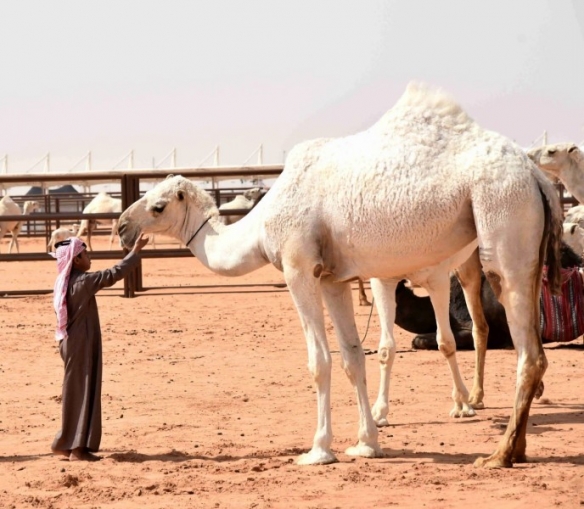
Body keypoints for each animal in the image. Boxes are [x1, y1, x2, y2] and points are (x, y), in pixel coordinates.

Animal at [117, 83, 560, 468]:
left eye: (157, 206)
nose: (122, 227)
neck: (262, 224)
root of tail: (536, 176)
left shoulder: (298, 268)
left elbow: (320, 361)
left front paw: (318, 450)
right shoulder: (333, 278)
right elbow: (352, 358)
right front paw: (367, 443)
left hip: (501, 215)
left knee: (526, 350)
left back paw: (499, 453)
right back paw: (516, 446)